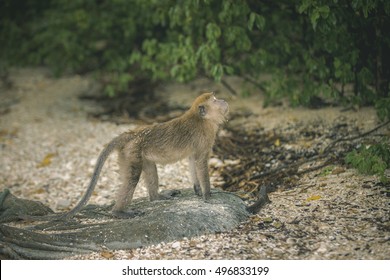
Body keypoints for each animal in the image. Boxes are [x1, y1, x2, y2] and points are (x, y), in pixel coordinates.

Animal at [20, 92, 229, 221]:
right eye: (214, 99)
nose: (224, 100)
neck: (202, 119)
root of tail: (132, 133)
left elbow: (193, 161)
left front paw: (198, 190)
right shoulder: (203, 138)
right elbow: (200, 162)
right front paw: (208, 195)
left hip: (133, 151)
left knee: (149, 167)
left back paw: (156, 198)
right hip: (132, 151)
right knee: (133, 177)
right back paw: (119, 212)